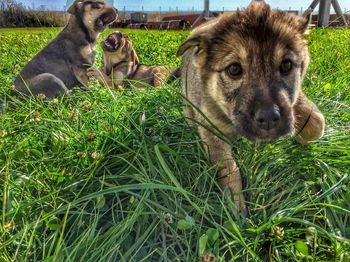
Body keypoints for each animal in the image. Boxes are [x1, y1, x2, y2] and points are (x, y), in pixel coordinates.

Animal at [176, 1, 326, 213]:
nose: (269, 118)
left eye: (287, 65)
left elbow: (316, 122)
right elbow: (229, 168)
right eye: (234, 69)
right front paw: (236, 206)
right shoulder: (211, 130)